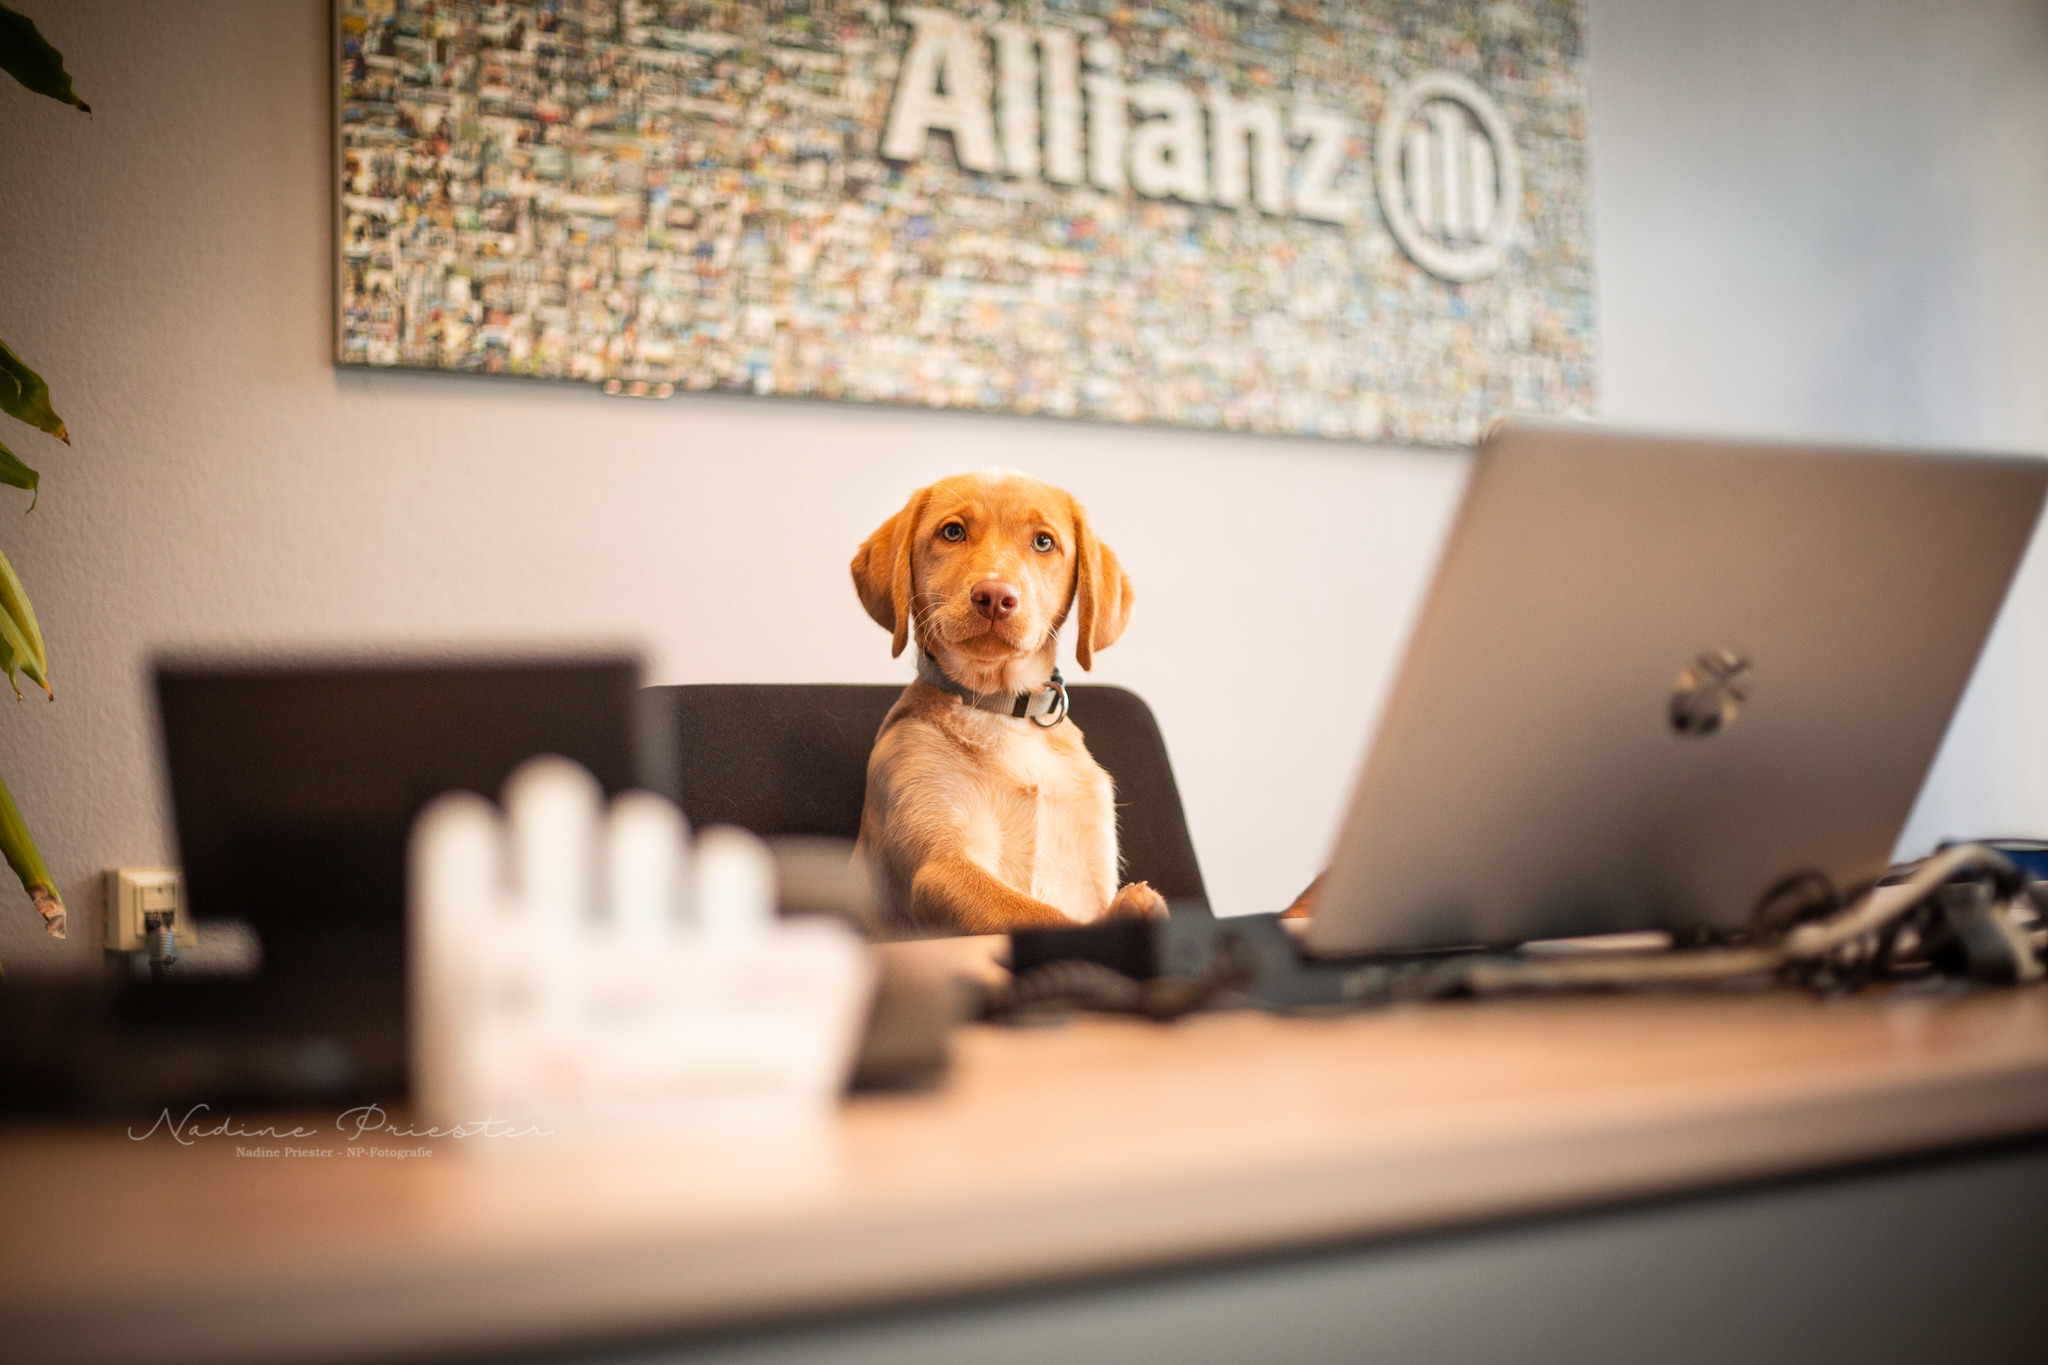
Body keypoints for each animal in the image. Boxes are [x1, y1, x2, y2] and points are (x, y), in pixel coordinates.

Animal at [850, 469, 1170, 936]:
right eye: (952, 532)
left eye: (1043, 542)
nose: (995, 597)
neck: (1000, 708)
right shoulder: (941, 867)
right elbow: (1043, 917)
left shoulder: (1091, 880)